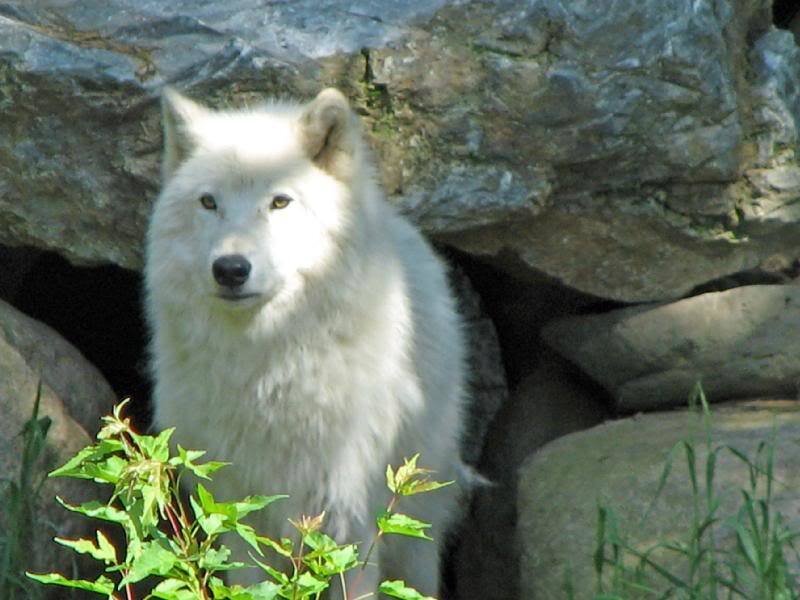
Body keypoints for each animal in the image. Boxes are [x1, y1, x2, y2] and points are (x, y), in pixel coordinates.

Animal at [144, 87, 469, 597]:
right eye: (209, 202)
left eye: (280, 202)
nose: (230, 269)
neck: (266, 371)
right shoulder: (234, 511)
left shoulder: (349, 516)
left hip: (415, 534)